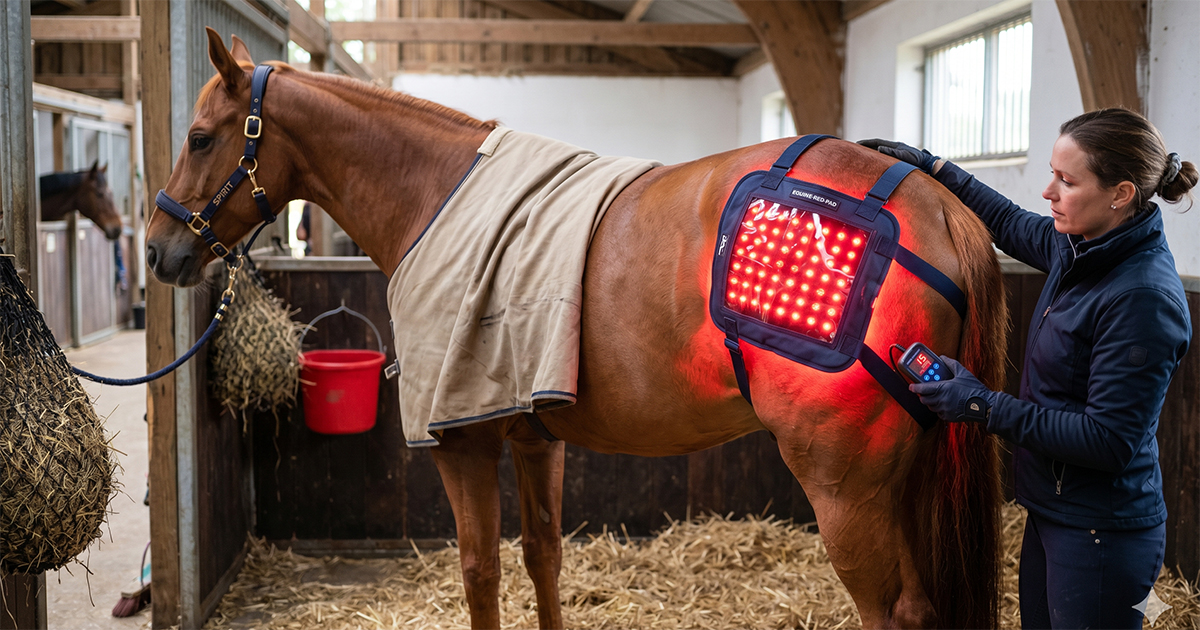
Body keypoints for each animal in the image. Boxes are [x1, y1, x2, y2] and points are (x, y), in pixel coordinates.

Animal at [146, 29, 1009, 629]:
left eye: (198, 137)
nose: (159, 250)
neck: (438, 195)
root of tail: (933, 203)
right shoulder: (535, 435)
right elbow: (543, 556)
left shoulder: (463, 440)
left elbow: (480, 571)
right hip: (904, 483)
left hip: (846, 490)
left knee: (895, 613)